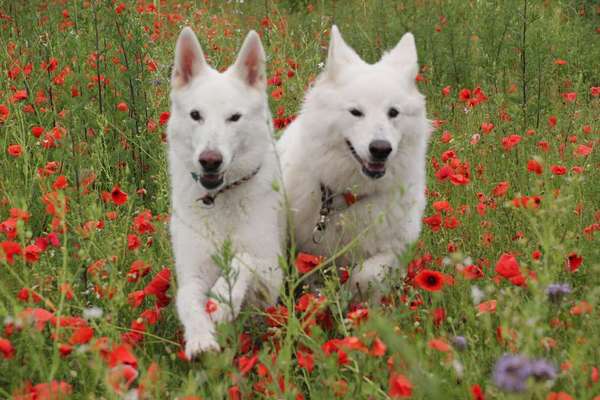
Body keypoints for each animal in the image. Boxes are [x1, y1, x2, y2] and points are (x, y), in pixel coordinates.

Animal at [166, 28, 284, 360]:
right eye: (196, 115)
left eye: (234, 117)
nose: (210, 160)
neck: (219, 199)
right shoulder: (191, 273)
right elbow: (187, 303)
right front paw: (200, 338)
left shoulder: (272, 277)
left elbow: (243, 258)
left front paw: (220, 302)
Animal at [278, 25, 428, 298]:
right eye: (356, 112)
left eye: (393, 112)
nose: (381, 149)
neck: (347, 197)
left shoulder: (392, 248)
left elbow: (367, 273)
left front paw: (349, 294)